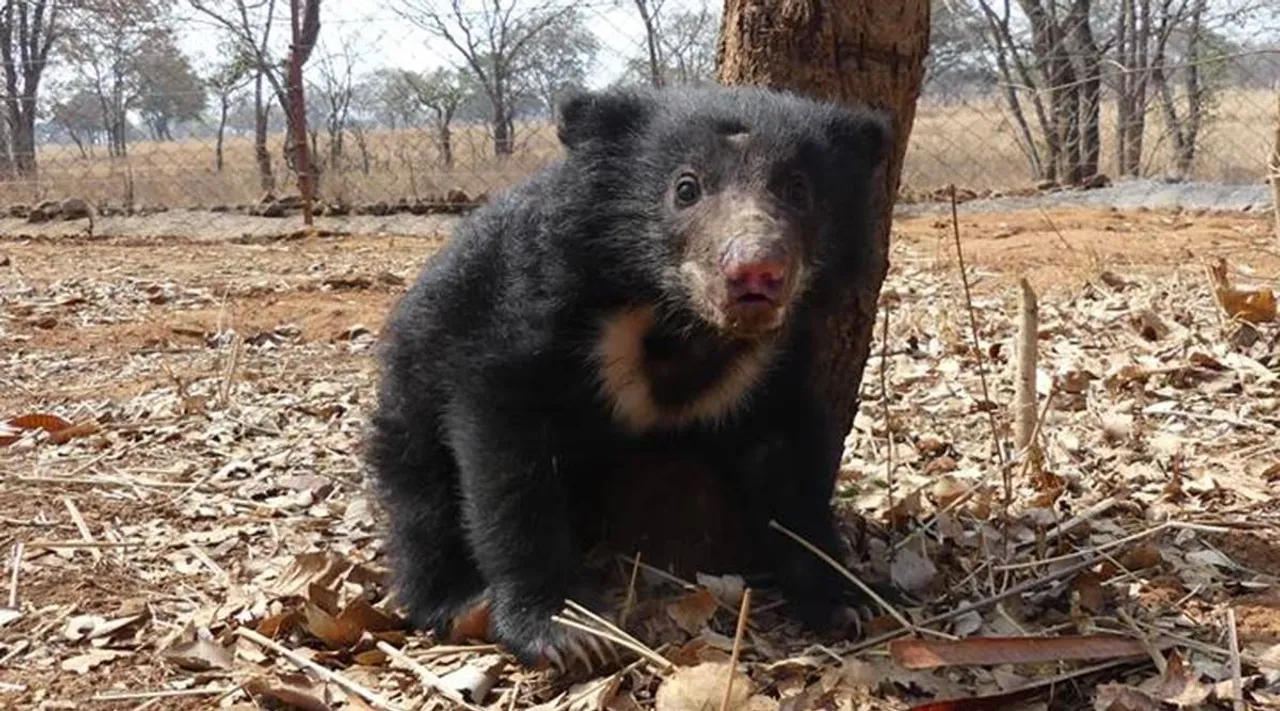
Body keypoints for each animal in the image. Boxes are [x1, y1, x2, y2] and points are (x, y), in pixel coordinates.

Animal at [366, 81, 896, 671]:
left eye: (798, 189)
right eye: (686, 189)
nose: (755, 270)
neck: (681, 319)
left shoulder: (772, 363)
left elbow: (789, 468)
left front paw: (847, 601)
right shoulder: (524, 315)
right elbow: (508, 461)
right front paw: (567, 630)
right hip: (413, 383)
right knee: (420, 498)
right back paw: (456, 602)